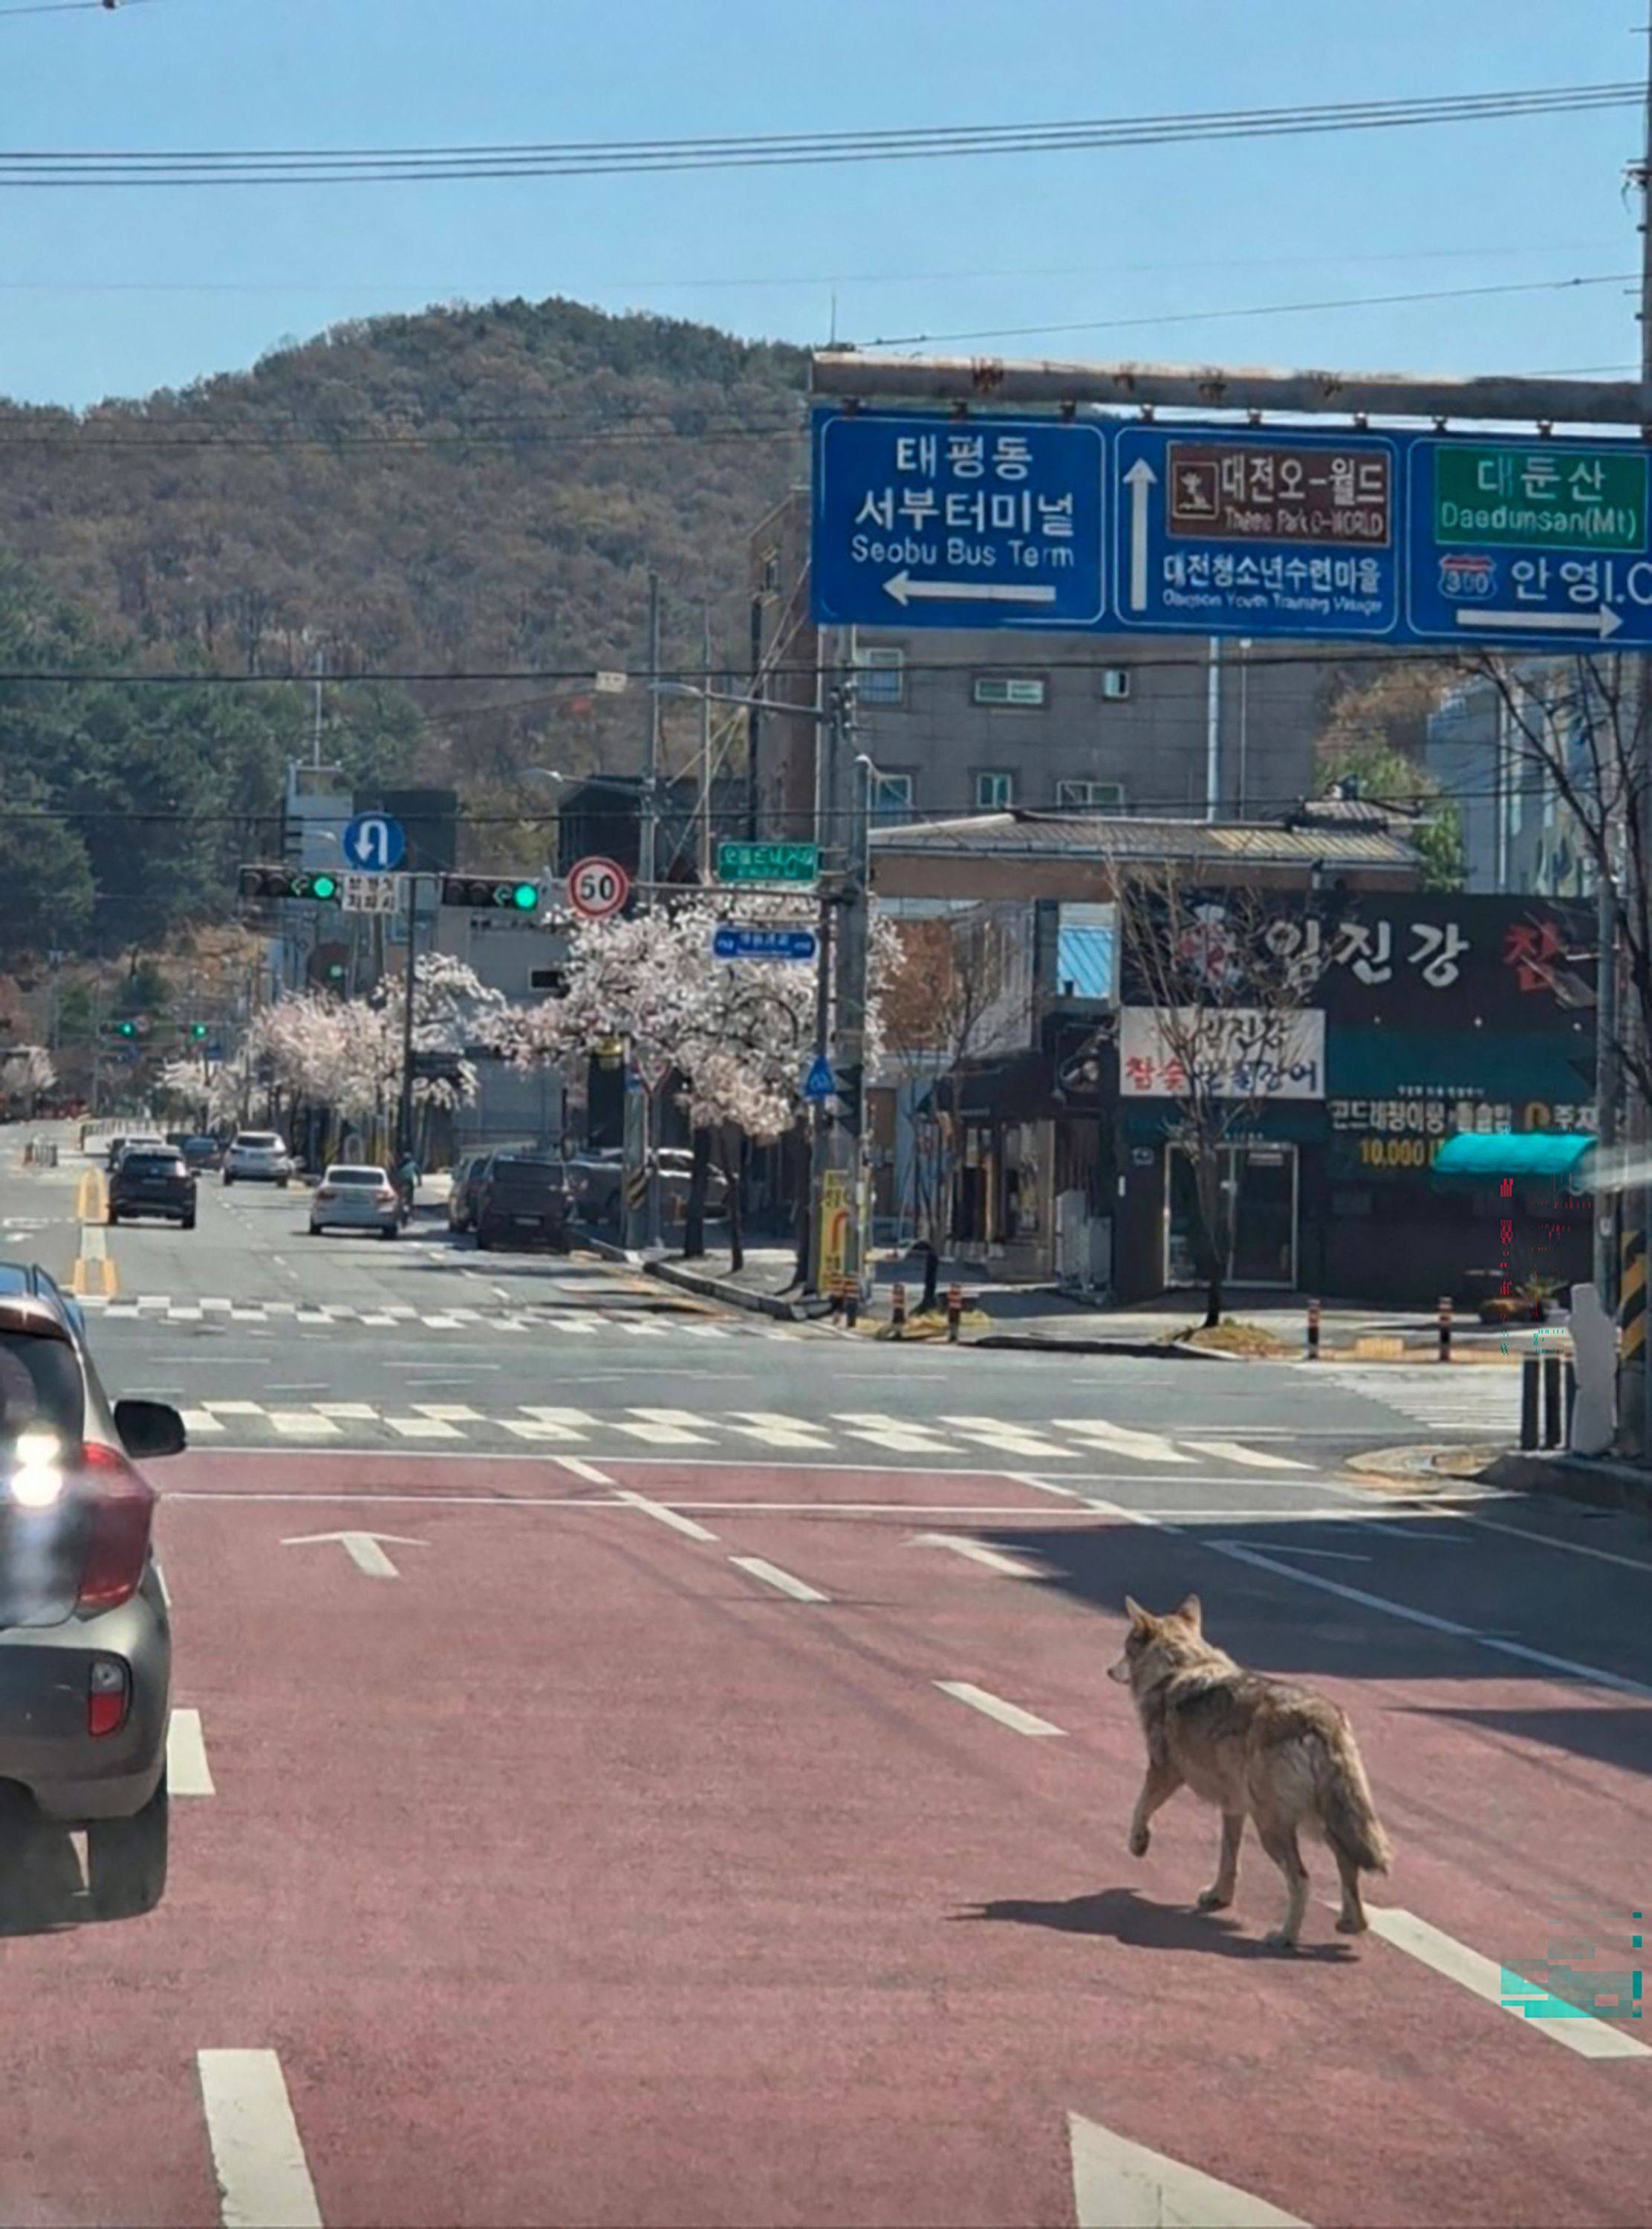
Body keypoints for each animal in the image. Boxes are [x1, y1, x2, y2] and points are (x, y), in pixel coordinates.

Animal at [1108, 1593, 1391, 1950]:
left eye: (1125, 1648)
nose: (1107, 1670)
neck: (1180, 1667)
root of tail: (1322, 1720)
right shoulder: (1233, 1807)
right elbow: (1229, 1860)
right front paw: (1219, 1897)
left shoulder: (1164, 1771)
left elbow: (1140, 1808)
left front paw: (1138, 1844)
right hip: (1321, 1822)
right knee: (1348, 1864)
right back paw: (1351, 1924)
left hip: (1272, 1827)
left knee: (1302, 1880)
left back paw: (1285, 1937)